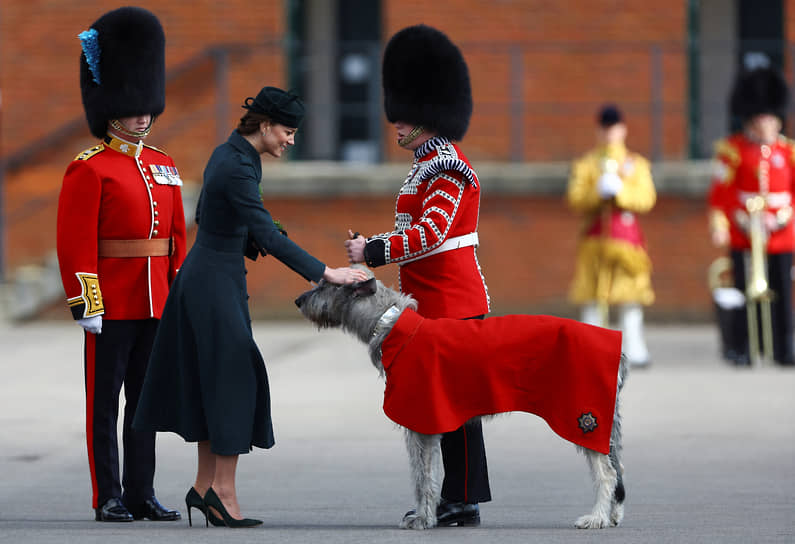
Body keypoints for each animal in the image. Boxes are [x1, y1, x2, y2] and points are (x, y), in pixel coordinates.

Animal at [296, 274, 632, 528]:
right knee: (618, 468)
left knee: (607, 472)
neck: (390, 323)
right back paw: (613, 515)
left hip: (584, 417)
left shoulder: (420, 420)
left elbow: (422, 476)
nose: (299, 300)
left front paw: (422, 519)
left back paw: (597, 518)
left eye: (325, 285)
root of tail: (619, 351)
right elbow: (428, 472)